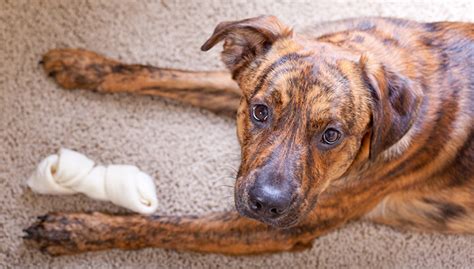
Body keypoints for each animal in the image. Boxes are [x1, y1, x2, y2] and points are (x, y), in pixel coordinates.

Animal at [24, 15, 472, 254]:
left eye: (331, 135)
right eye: (260, 112)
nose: (267, 204)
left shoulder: (274, 229)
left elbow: (170, 226)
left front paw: (73, 229)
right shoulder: (239, 83)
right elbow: (166, 74)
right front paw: (84, 65)